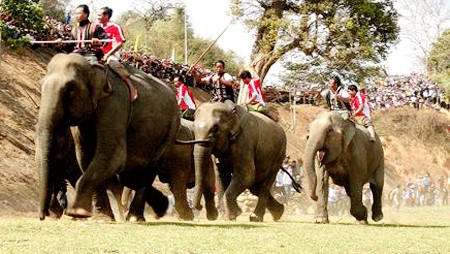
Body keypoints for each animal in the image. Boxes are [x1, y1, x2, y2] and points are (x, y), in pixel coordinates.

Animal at [36, 52, 179, 219]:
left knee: (148, 172)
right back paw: (157, 208)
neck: (95, 67)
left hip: (169, 133)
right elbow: (85, 156)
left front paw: (78, 213)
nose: (43, 215)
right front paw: (101, 217)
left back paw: (135, 217)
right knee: (130, 177)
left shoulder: (115, 104)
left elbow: (114, 156)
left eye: (70, 91)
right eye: (40, 85)